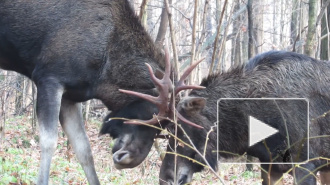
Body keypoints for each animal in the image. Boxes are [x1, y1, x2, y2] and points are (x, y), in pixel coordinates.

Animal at [0, 0, 183, 184]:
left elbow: (84, 149)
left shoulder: (70, 96)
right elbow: (49, 142)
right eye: (150, 114)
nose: (129, 160)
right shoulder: (48, 78)